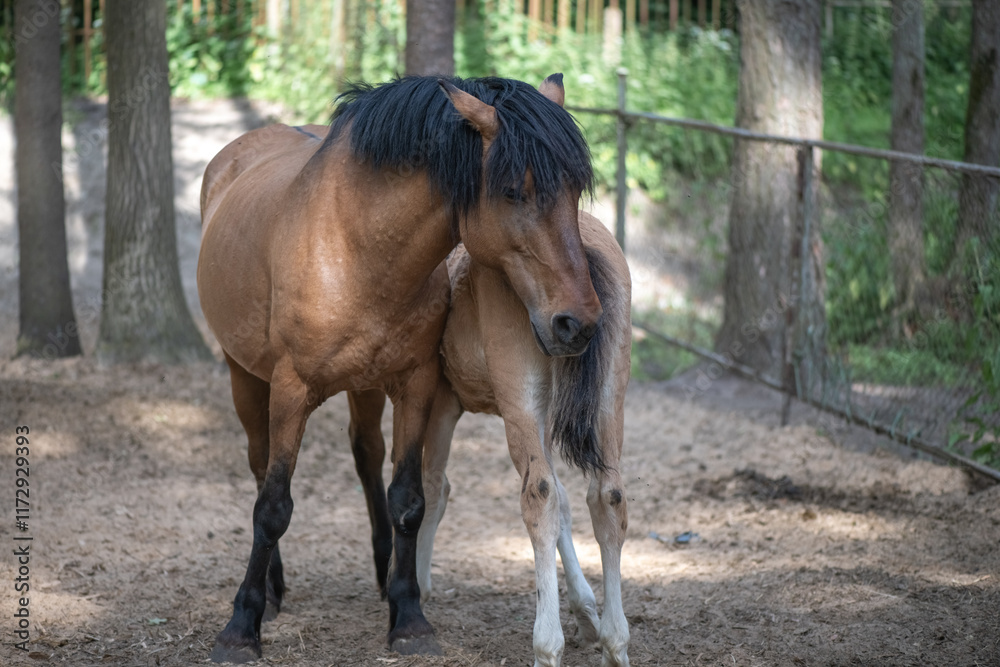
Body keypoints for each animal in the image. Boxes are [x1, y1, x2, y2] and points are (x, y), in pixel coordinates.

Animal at [196, 73, 601, 663]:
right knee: (258, 463)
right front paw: (240, 627)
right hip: (244, 376)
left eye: (573, 192)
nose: (580, 322)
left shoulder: (415, 385)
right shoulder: (291, 390)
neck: (356, 246)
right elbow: (272, 506)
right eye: (512, 191)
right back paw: (271, 592)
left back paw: (381, 567)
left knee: (367, 454)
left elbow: (408, 498)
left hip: (362, 388)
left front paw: (408, 616)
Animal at [348, 211, 632, 667]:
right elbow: (566, 502)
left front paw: (416, 591)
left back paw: (547, 646)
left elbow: (433, 487)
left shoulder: (440, 401)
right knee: (607, 495)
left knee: (538, 493)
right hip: (608, 400)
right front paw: (586, 612)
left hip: (519, 402)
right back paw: (615, 643)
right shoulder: (539, 414)